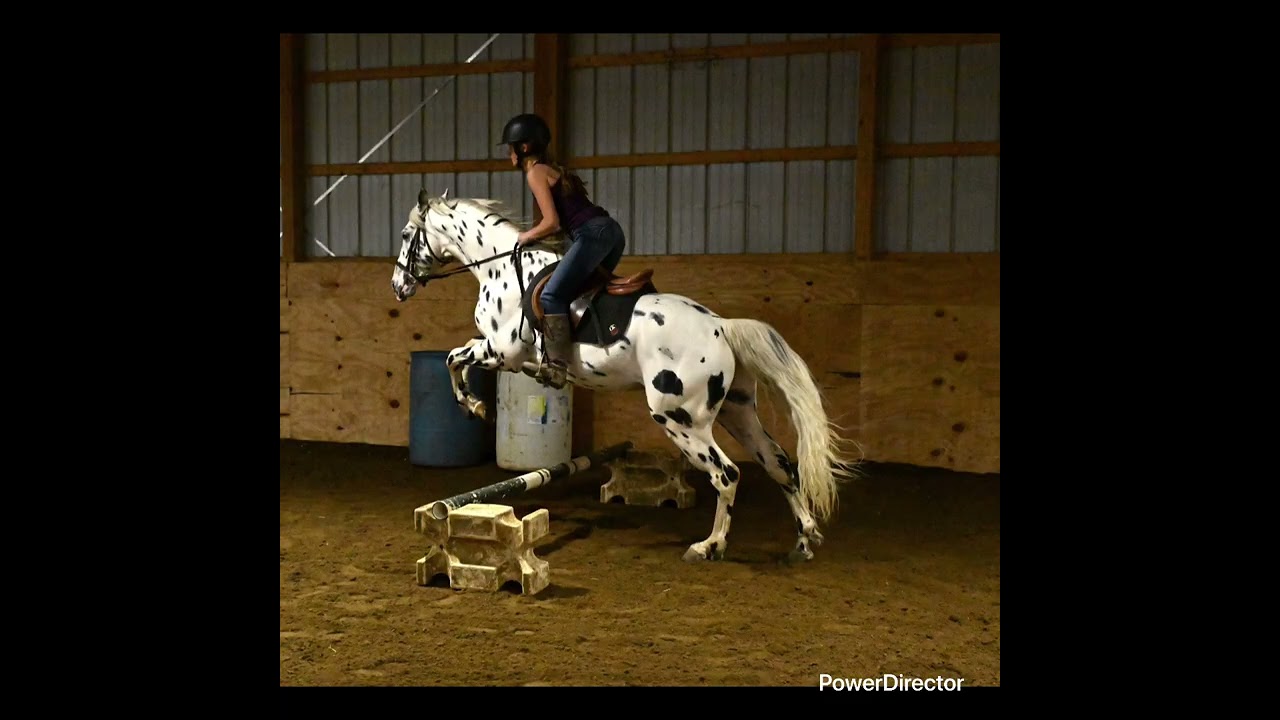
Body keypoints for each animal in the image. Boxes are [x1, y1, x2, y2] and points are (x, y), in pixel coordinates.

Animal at [391, 189, 861, 564]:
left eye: (406, 236)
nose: (398, 286)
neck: (501, 267)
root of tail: (721, 326)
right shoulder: (502, 352)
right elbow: (458, 358)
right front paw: (481, 401)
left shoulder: (502, 350)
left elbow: (453, 358)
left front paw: (473, 405)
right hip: (737, 412)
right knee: (779, 464)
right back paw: (804, 540)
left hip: (680, 418)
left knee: (727, 474)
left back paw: (709, 546)